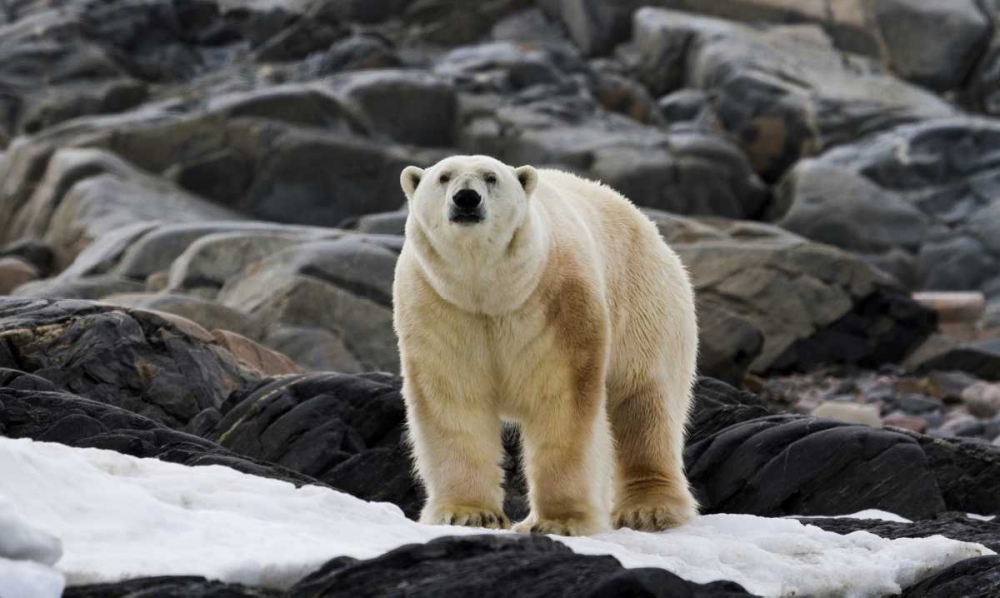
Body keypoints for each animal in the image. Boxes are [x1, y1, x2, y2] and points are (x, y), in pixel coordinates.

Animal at [390, 156, 696, 540]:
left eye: (491, 177)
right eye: (443, 177)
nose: (466, 199)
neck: (489, 292)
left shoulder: (557, 302)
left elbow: (561, 402)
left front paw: (559, 521)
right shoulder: (441, 308)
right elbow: (455, 400)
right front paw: (468, 514)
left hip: (644, 304)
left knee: (643, 403)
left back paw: (650, 510)